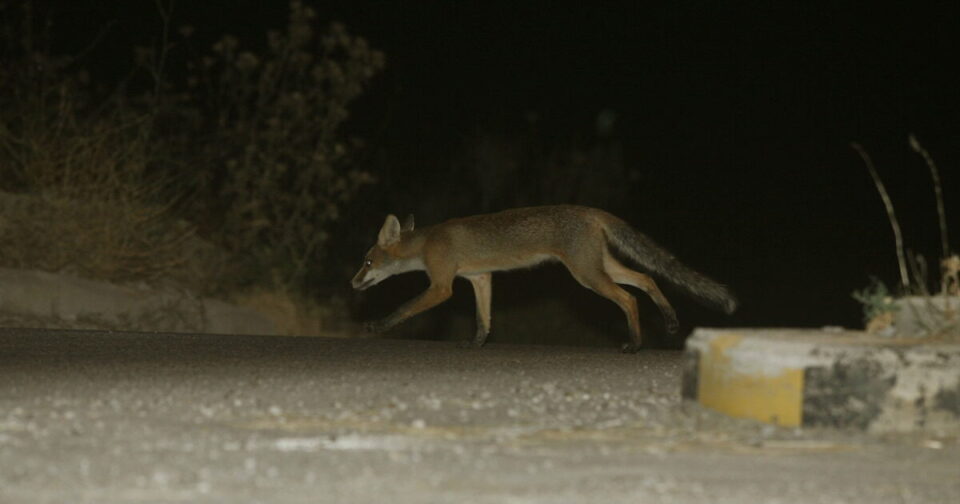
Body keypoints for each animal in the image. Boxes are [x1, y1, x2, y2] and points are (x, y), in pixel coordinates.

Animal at [350, 204, 736, 350]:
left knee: (629, 298)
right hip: (599, 267)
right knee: (647, 279)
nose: (353, 283)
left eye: (367, 262)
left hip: (587, 275)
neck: (428, 242)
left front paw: (377, 326)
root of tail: (590, 210)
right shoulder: (480, 278)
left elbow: (405, 308)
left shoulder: (442, 286)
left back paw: (635, 344)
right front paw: (476, 344)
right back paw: (669, 322)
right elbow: (483, 320)